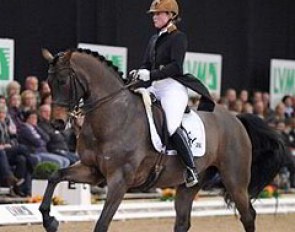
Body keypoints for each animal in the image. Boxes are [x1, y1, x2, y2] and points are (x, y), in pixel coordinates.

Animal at [39, 49, 286, 232]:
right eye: (48, 82)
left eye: (62, 81)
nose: (57, 123)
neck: (113, 114)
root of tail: (235, 118)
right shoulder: (93, 171)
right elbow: (55, 175)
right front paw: (50, 221)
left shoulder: (120, 180)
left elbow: (101, 225)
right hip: (189, 185)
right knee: (183, 222)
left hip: (235, 180)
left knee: (248, 215)